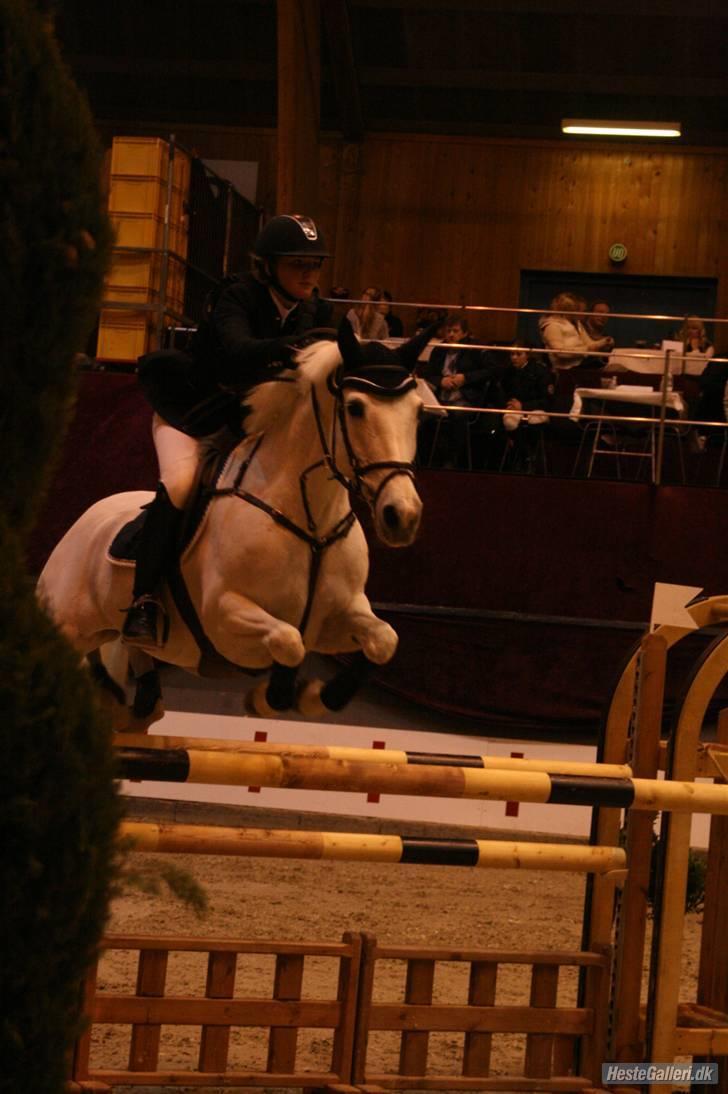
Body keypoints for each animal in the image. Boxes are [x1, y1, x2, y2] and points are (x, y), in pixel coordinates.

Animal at [37, 321, 429, 728]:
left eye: (418, 413)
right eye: (355, 408)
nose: (402, 515)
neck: (310, 522)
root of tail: (82, 522)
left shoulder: (339, 616)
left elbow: (383, 641)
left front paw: (315, 699)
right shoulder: (225, 615)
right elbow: (290, 642)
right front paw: (270, 699)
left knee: (130, 649)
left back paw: (138, 702)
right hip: (69, 624)